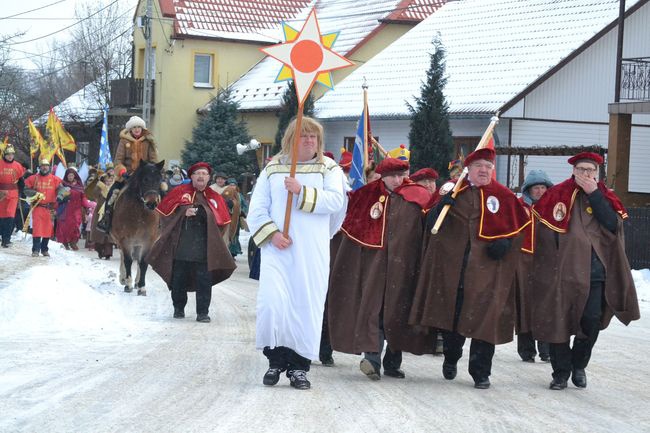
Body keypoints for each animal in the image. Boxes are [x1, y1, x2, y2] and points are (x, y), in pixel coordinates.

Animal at [109, 160, 165, 296]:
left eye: (159, 180)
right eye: (145, 179)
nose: (152, 203)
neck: (140, 213)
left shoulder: (148, 241)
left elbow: (143, 262)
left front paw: (141, 287)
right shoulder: (125, 240)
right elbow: (128, 260)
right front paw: (127, 284)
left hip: (139, 243)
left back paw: (137, 281)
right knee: (123, 256)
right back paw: (124, 278)